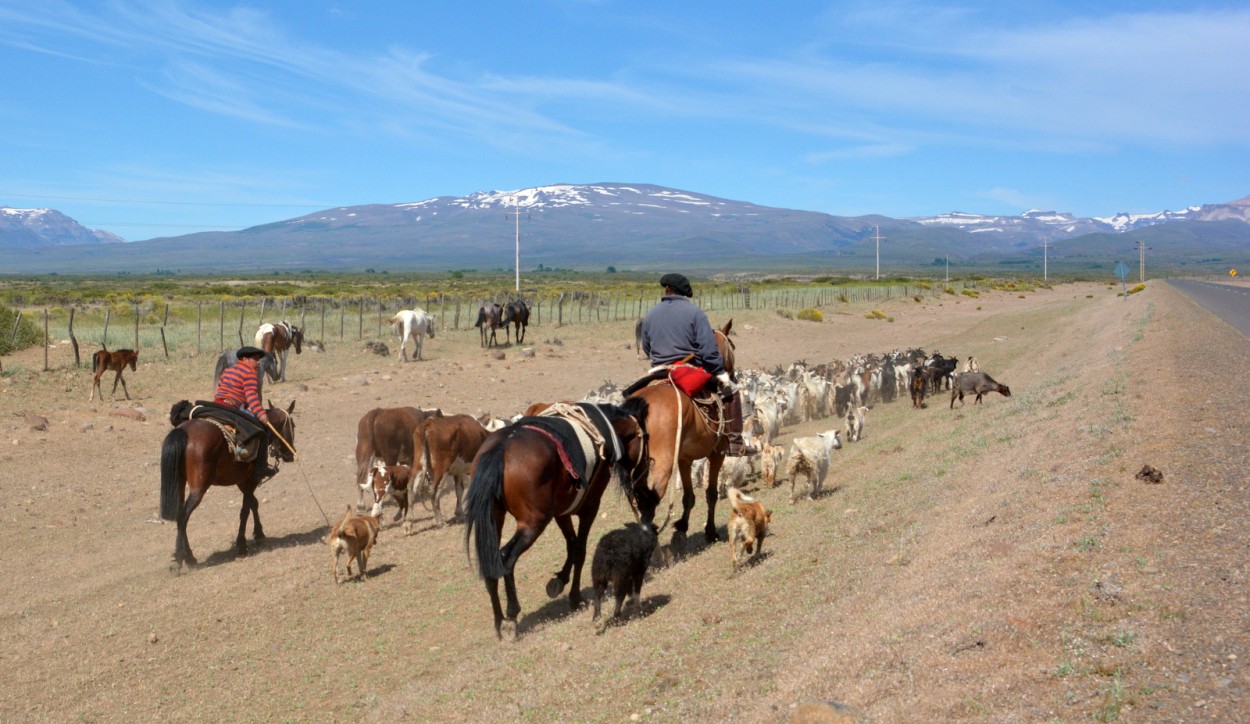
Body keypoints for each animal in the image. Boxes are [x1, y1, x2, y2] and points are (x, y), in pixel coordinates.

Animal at [160, 400, 296, 575]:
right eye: (292, 425)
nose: (290, 455)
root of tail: (183, 432)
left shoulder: (243, 482)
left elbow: (253, 504)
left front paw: (258, 534)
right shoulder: (250, 480)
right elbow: (245, 510)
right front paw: (242, 544)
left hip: (179, 484)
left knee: (180, 515)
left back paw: (187, 556)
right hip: (198, 488)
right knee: (184, 516)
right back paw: (180, 559)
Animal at [465, 400, 660, 645]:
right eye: (647, 440)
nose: (646, 474)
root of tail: (499, 449)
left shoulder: (561, 512)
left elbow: (572, 544)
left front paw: (559, 582)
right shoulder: (589, 508)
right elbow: (580, 550)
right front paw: (575, 596)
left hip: (494, 519)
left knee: (491, 560)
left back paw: (499, 621)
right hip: (533, 524)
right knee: (506, 558)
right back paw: (511, 614)